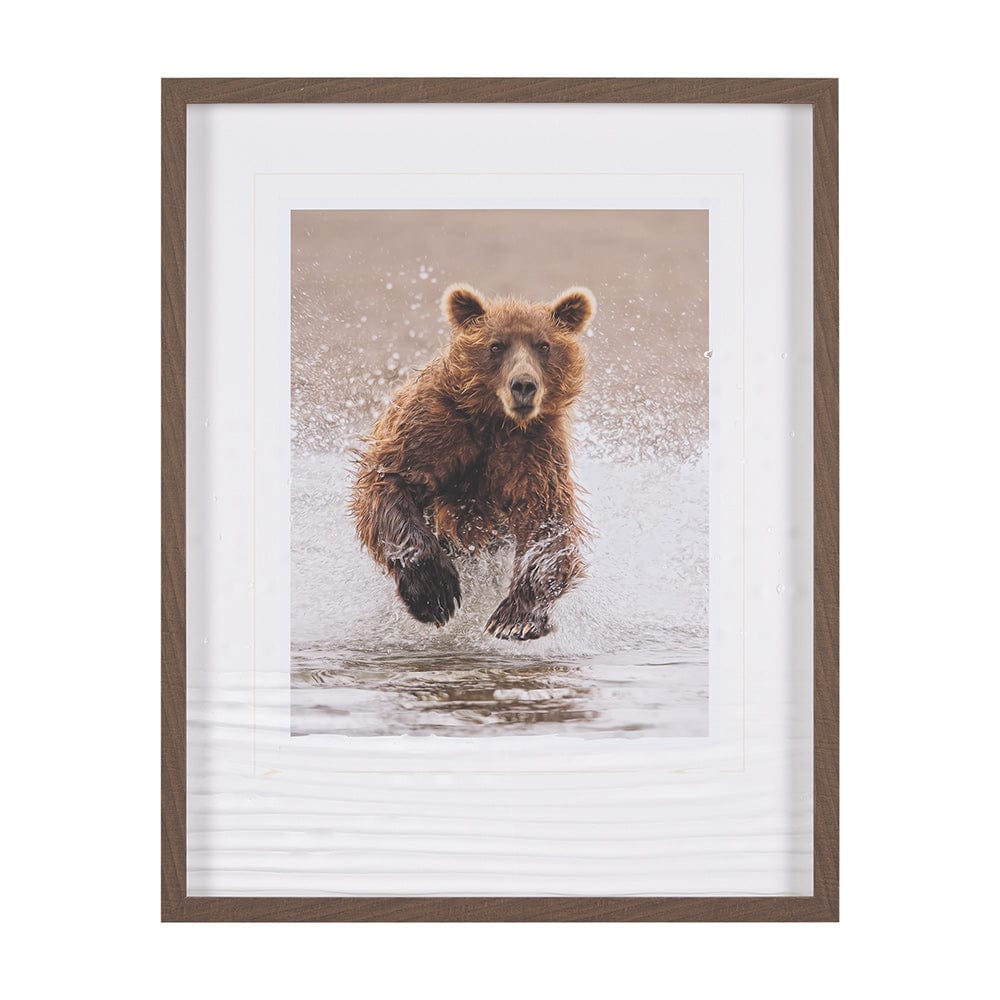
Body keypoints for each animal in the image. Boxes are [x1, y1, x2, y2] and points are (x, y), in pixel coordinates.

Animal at [351, 283, 595, 640]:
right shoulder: (432, 429)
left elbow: (547, 520)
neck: (495, 421)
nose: (524, 385)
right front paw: (435, 593)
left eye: (543, 345)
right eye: (496, 345)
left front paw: (515, 619)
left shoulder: (534, 451)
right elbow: (389, 482)